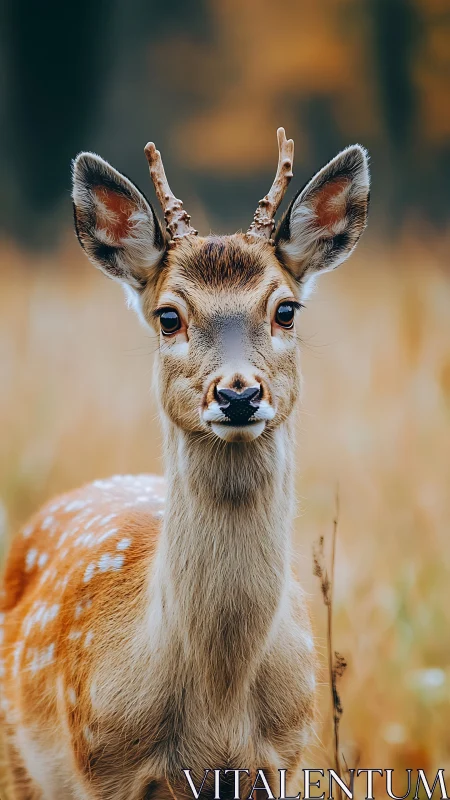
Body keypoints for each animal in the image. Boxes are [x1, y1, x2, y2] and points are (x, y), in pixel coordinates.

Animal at [0, 128, 369, 800]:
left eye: (286, 310)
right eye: (169, 315)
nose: (238, 393)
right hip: (21, 762)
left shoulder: (289, 755)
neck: (218, 714)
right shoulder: (103, 763)